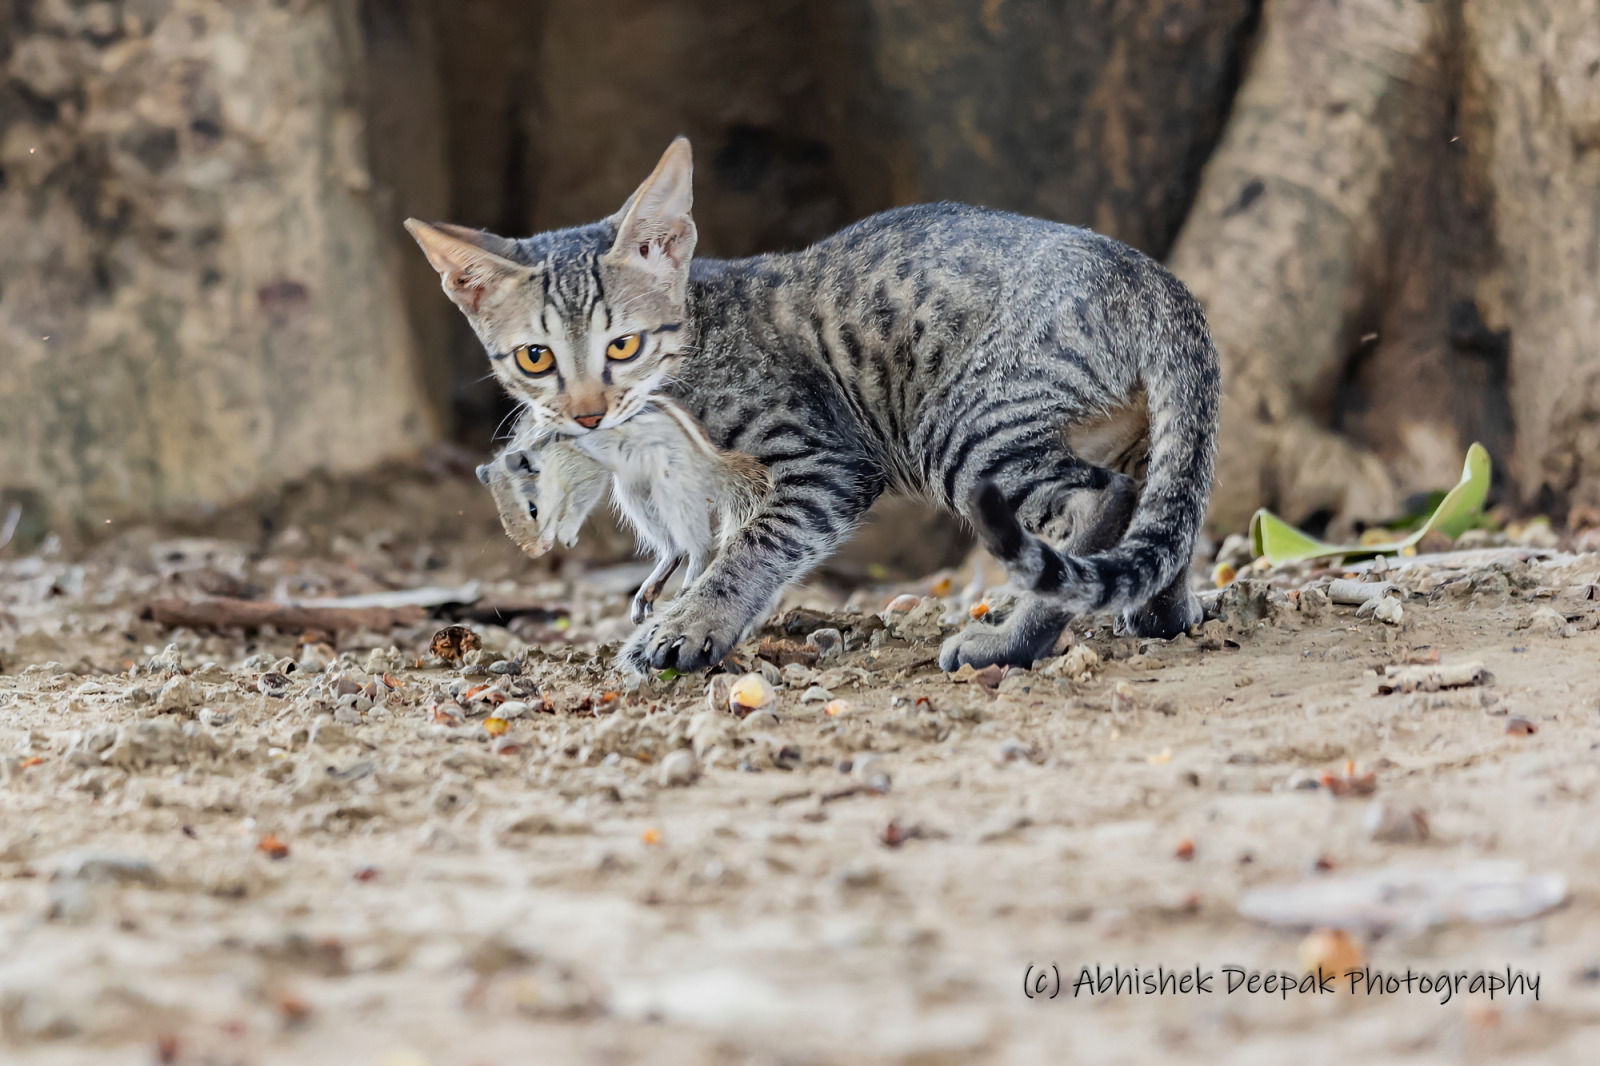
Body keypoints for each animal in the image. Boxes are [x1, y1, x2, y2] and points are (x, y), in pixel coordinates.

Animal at [406, 135, 1216, 672]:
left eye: (624, 346)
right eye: (535, 357)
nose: (585, 414)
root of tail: (1156, 279)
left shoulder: (825, 461)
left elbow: (755, 547)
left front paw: (689, 624)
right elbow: (722, 543)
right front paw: (682, 598)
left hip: (961, 425)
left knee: (1097, 501)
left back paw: (1008, 641)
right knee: (1160, 514)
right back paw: (1160, 611)